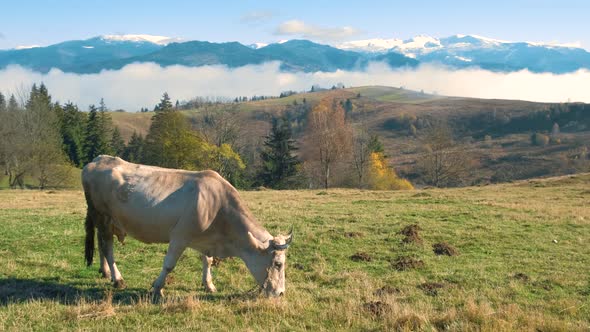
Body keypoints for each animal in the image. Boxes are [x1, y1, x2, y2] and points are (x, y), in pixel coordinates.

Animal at [82, 156, 294, 298]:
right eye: (278, 264)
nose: (281, 293)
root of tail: (97, 160)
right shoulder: (180, 236)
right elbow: (169, 264)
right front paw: (157, 288)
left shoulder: (205, 239)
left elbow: (207, 260)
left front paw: (209, 285)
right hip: (102, 216)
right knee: (107, 247)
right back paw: (117, 278)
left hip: (106, 221)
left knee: (102, 243)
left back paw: (105, 272)